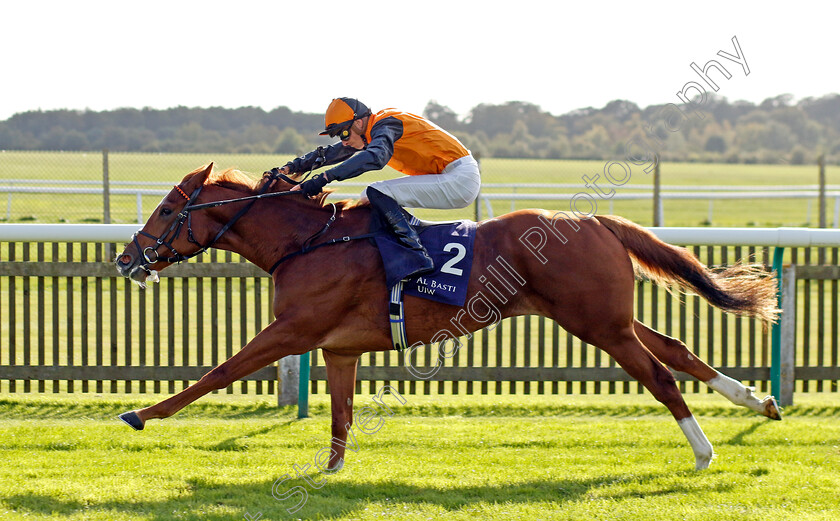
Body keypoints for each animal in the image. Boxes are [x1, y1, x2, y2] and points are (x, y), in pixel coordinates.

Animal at [115, 164, 776, 472]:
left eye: (169, 208)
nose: (125, 258)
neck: (310, 240)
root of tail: (596, 220)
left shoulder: (294, 330)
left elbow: (219, 372)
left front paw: (142, 413)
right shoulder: (338, 347)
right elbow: (341, 414)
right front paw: (329, 471)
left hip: (596, 324)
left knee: (659, 375)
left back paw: (704, 452)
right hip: (604, 318)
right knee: (675, 349)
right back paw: (755, 400)